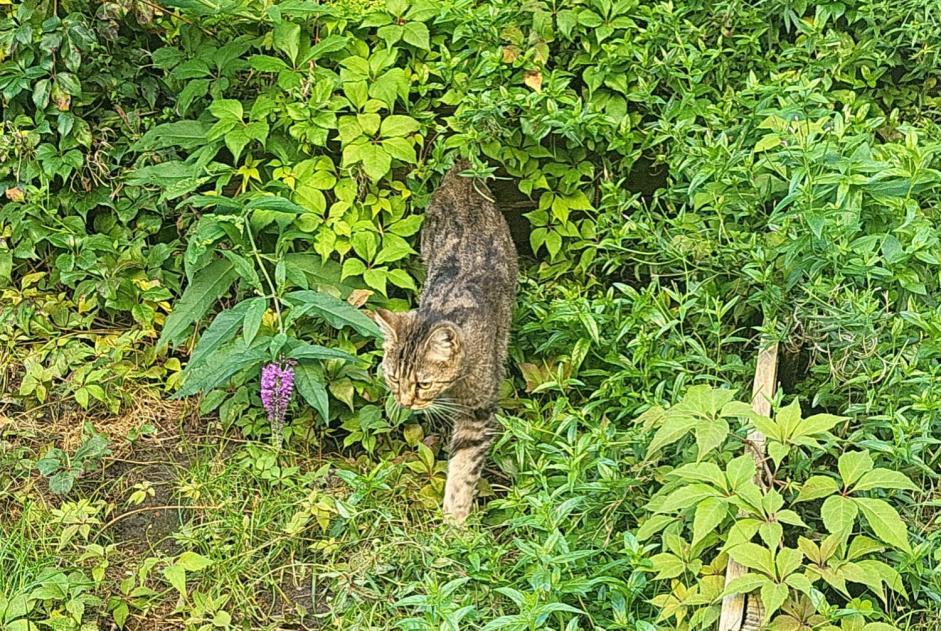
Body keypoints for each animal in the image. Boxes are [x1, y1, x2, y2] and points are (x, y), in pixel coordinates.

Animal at [372, 159, 516, 524]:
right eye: (393, 378)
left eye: (423, 383)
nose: (405, 403)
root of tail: (461, 170)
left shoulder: (478, 412)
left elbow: (463, 469)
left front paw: (455, 522)